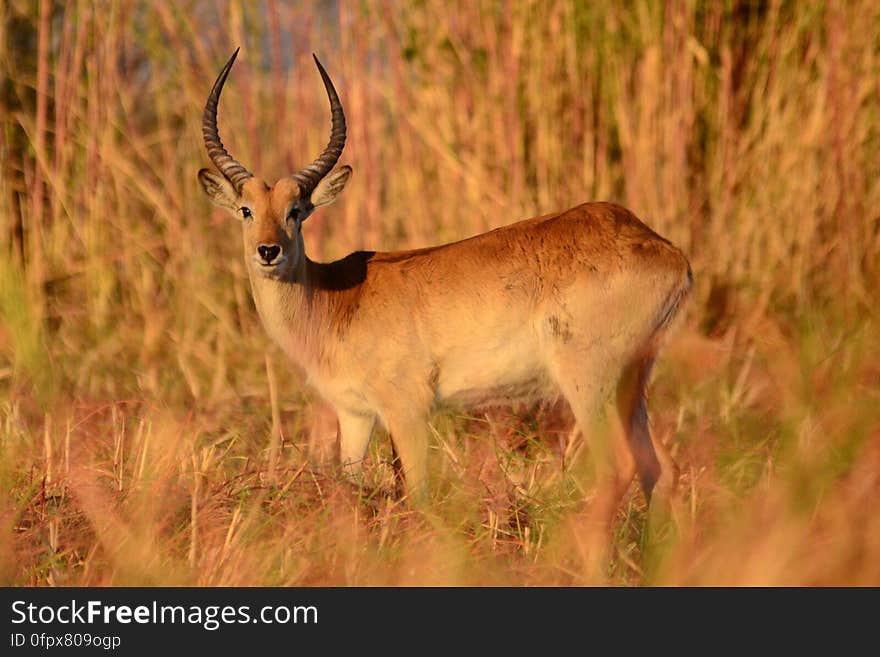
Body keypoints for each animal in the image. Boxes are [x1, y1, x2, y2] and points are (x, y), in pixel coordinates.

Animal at [196, 48, 692, 544]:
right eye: (247, 210)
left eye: (296, 211)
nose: (268, 251)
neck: (336, 300)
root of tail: (666, 251)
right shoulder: (354, 414)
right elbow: (348, 490)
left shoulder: (408, 410)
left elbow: (417, 494)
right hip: (631, 383)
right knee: (661, 469)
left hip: (588, 381)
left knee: (619, 467)